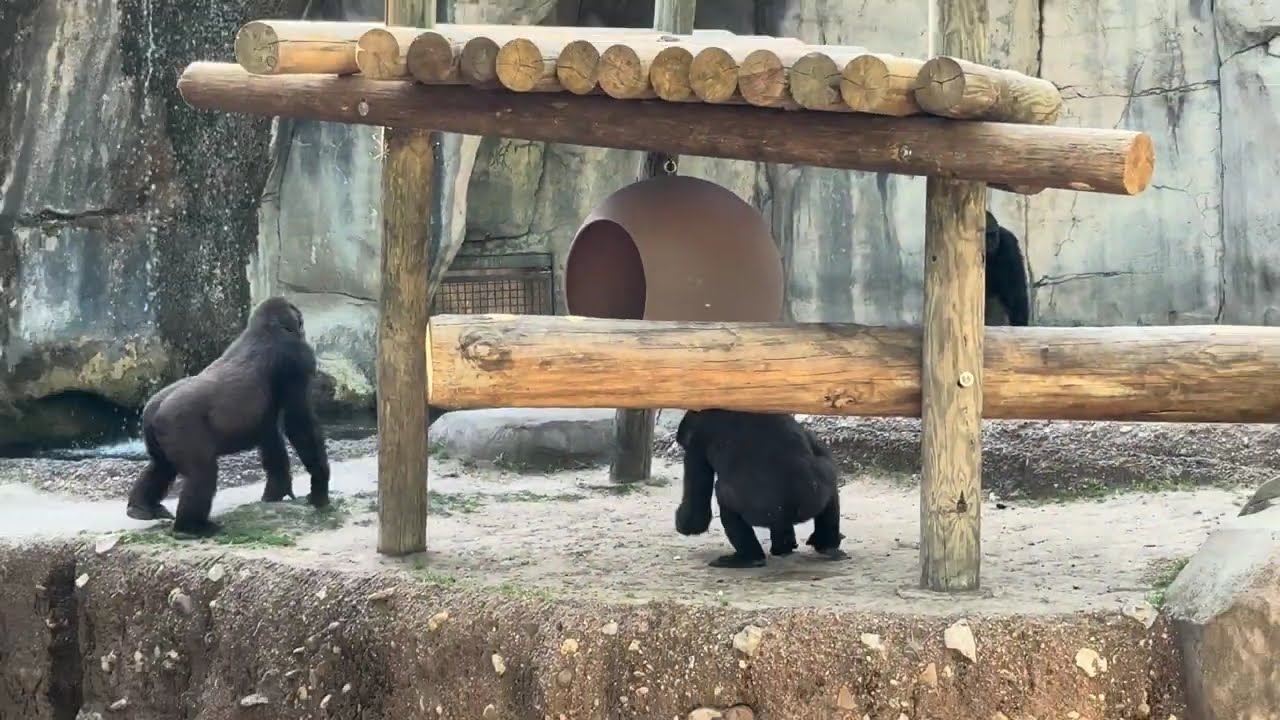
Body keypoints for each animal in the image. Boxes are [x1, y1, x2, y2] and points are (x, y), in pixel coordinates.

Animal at [125, 297, 330, 536]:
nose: (303, 329)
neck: (266, 328)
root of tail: (155, 409)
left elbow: (271, 435)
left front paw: (277, 491)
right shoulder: (298, 358)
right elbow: (299, 424)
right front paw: (319, 487)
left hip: (154, 427)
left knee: (161, 466)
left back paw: (141, 507)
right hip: (179, 423)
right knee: (202, 473)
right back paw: (192, 527)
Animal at [674, 409, 847, 568]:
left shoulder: (696, 446)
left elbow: (696, 516)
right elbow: (822, 452)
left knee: (724, 498)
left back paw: (749, 557)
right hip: (817, 490)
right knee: (830, 481)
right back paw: (825, 544)